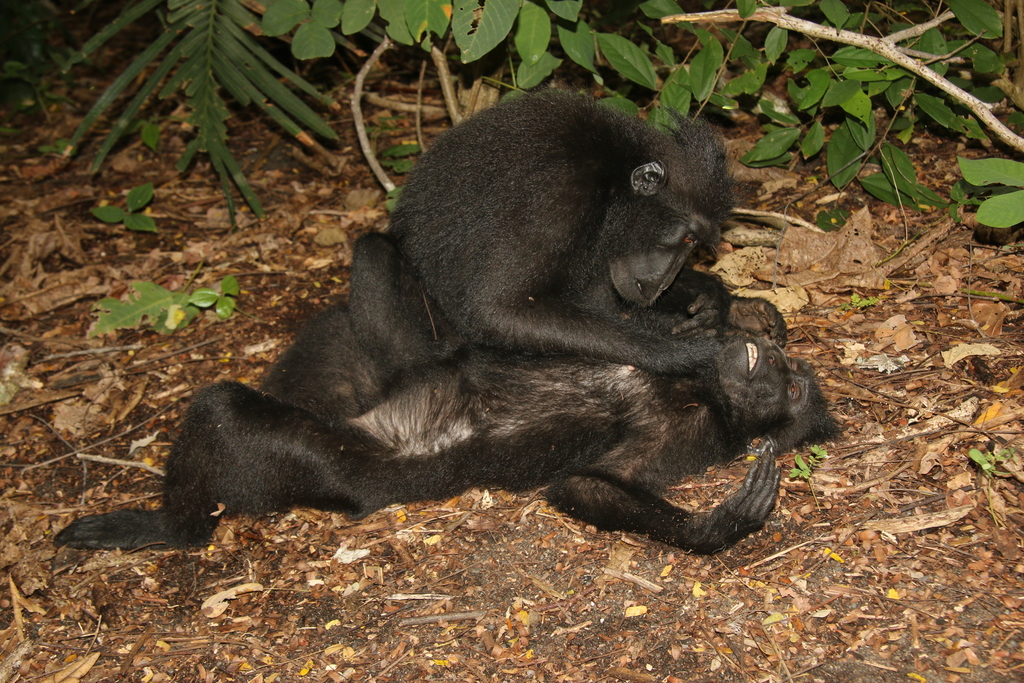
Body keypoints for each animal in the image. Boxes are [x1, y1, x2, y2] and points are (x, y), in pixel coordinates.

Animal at [56, 235, 835, 557]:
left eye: (793, 387)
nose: (772, 364)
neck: (696, 389)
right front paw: (730, 308)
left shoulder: (688, 434)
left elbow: (586, 483)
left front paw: (719, 528)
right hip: (355, 360)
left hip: (330, 460)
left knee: (220, 412)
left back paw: (168, 529)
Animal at [385, 88, 782, 376]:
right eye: (687, 238)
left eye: (694, 246)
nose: (663, 284)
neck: (611, 177)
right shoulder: (560, 194)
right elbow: (498, 309)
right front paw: (685, 353)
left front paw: (724, 302)